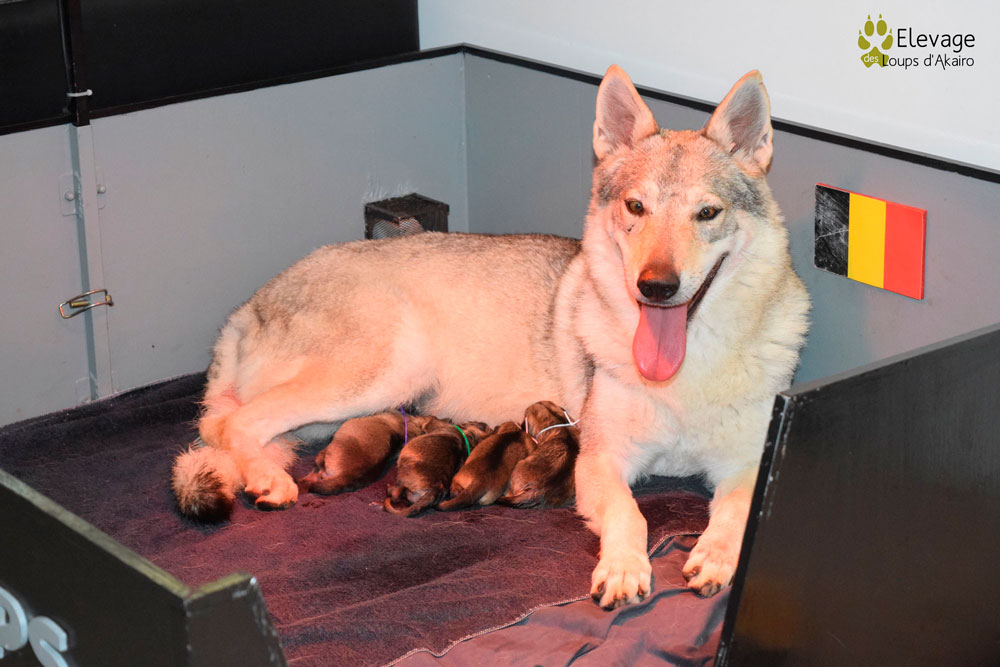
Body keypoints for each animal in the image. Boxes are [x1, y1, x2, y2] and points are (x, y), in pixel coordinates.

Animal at [170, 65, 808, 604]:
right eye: (635, 207)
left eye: (707, 214)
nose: (655, 286)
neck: (683, 373)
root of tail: (250, 304)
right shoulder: (602, 461)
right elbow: (634, 515)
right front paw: (625, 569)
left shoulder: (749, 466)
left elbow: (735, 515)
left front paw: (717, 558)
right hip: (381, 375)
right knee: (230, 425)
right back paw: (269, 481)